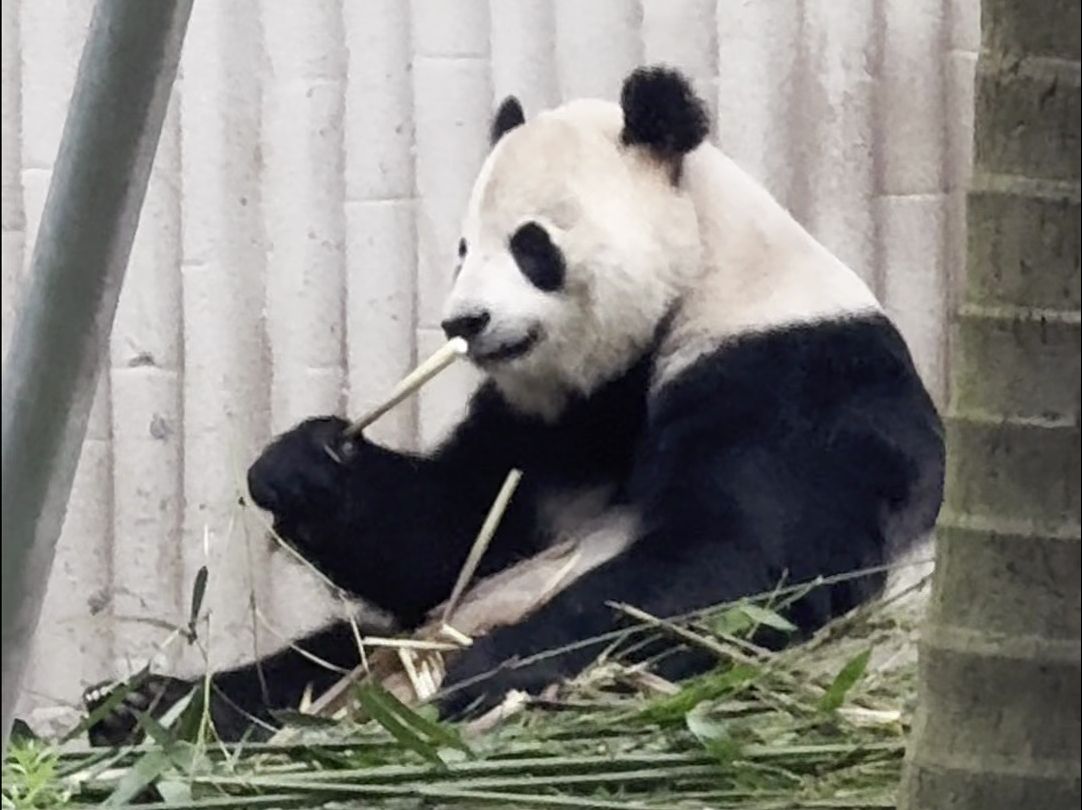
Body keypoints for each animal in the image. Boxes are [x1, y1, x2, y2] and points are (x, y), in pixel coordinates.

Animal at [88, 66, 943, 744]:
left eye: (533, 246)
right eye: (465, 248)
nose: (463, 323)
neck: (704, 280)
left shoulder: (794, 378)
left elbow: (747, 560)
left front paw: (487, 672)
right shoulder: (556, 424)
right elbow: (458, 536)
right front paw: (303, 466)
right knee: (319, 658)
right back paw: (145, 708)